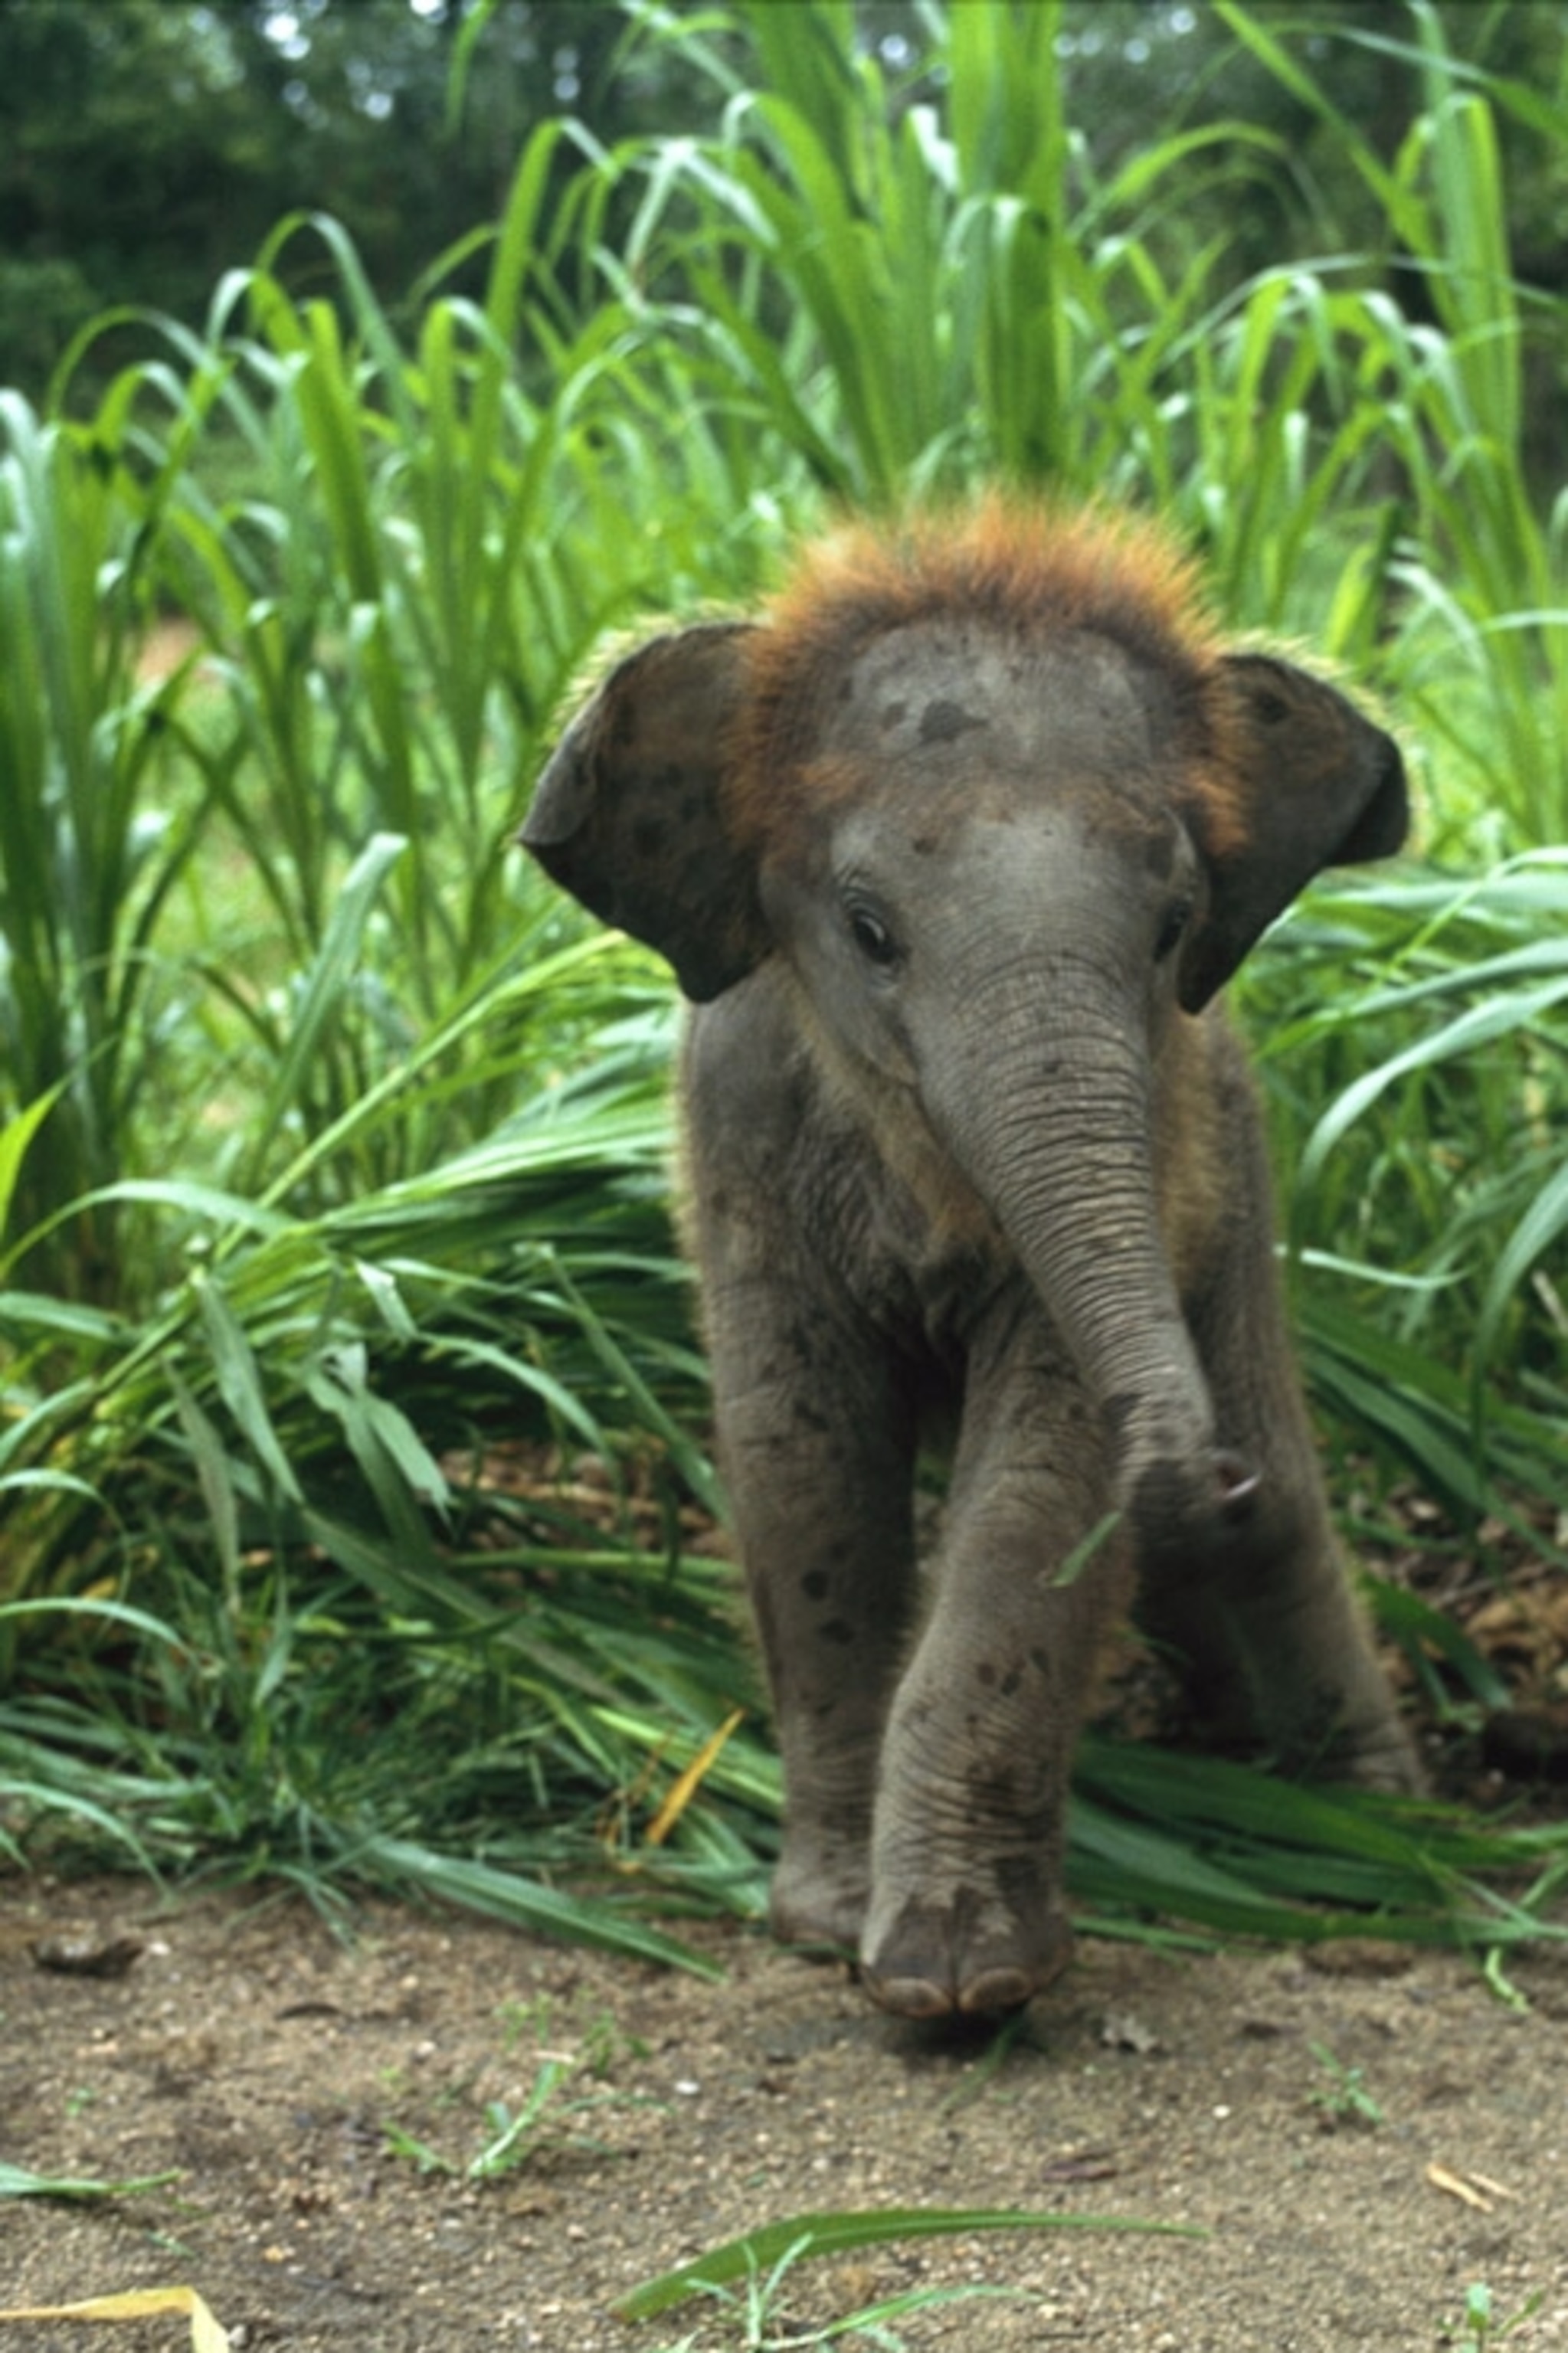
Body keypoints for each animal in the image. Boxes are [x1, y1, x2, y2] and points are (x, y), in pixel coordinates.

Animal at [523, 499, 1421, 2022]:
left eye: (1172, 926)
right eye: (868, 931)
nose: (1201, 1470)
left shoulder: (1160, 1143)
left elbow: (1038, 1489)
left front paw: (957, 1981)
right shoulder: (739, 1138)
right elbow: (801, 1465)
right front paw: (830, 1928)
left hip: (1240, 1179)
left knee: (1282, 1523)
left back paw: (1384, 1836)